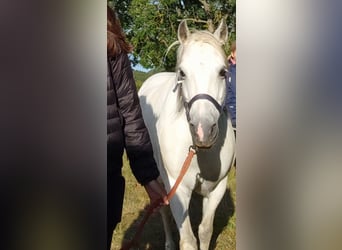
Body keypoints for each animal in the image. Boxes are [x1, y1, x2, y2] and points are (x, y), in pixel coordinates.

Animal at [138, 20, 235, 250]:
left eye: (222, 72)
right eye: (182, 73)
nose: (203, 131)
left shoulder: (217, 188)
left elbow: (205, 231)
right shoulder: (178, 188)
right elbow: (188, 240)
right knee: (162, 208)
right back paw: (168, 243)